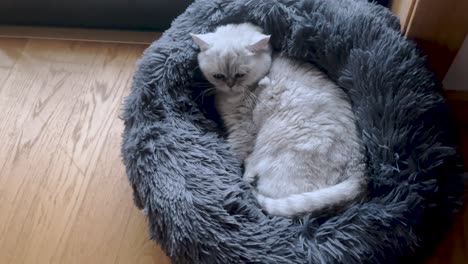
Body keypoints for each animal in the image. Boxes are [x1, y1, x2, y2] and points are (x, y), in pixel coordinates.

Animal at [192, 22, 368, 217]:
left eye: (240, 75)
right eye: (218, 76)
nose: (230, 85)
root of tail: (360, 171)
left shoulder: (242, 131)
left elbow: (233, 152)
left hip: (272, 145)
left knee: (256, 174)